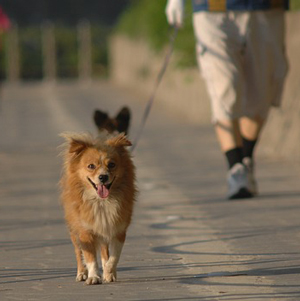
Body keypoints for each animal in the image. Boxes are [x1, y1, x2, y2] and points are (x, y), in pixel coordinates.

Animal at [60, 131, 137, 284]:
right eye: (91, 166)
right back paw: (82, 273)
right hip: (73, 230)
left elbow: (113, 257)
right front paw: (94, 276)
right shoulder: (85, 231)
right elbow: (90, 259)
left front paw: (108, 272)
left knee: (104, 251)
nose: (103, 177)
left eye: (112, 164)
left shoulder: (118, 230)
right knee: (78, 253)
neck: (102, 202)